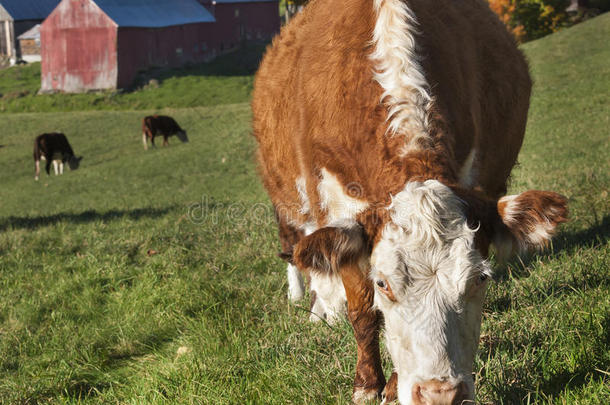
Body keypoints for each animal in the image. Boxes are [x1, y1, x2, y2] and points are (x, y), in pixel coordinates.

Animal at [251, 0, 564, 404]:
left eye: (480, 277)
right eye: (383, 283)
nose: (440, 393)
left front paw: (395, 386)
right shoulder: (340, 212)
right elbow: (362, 310)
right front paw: (368, 384)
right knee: (297, 248)